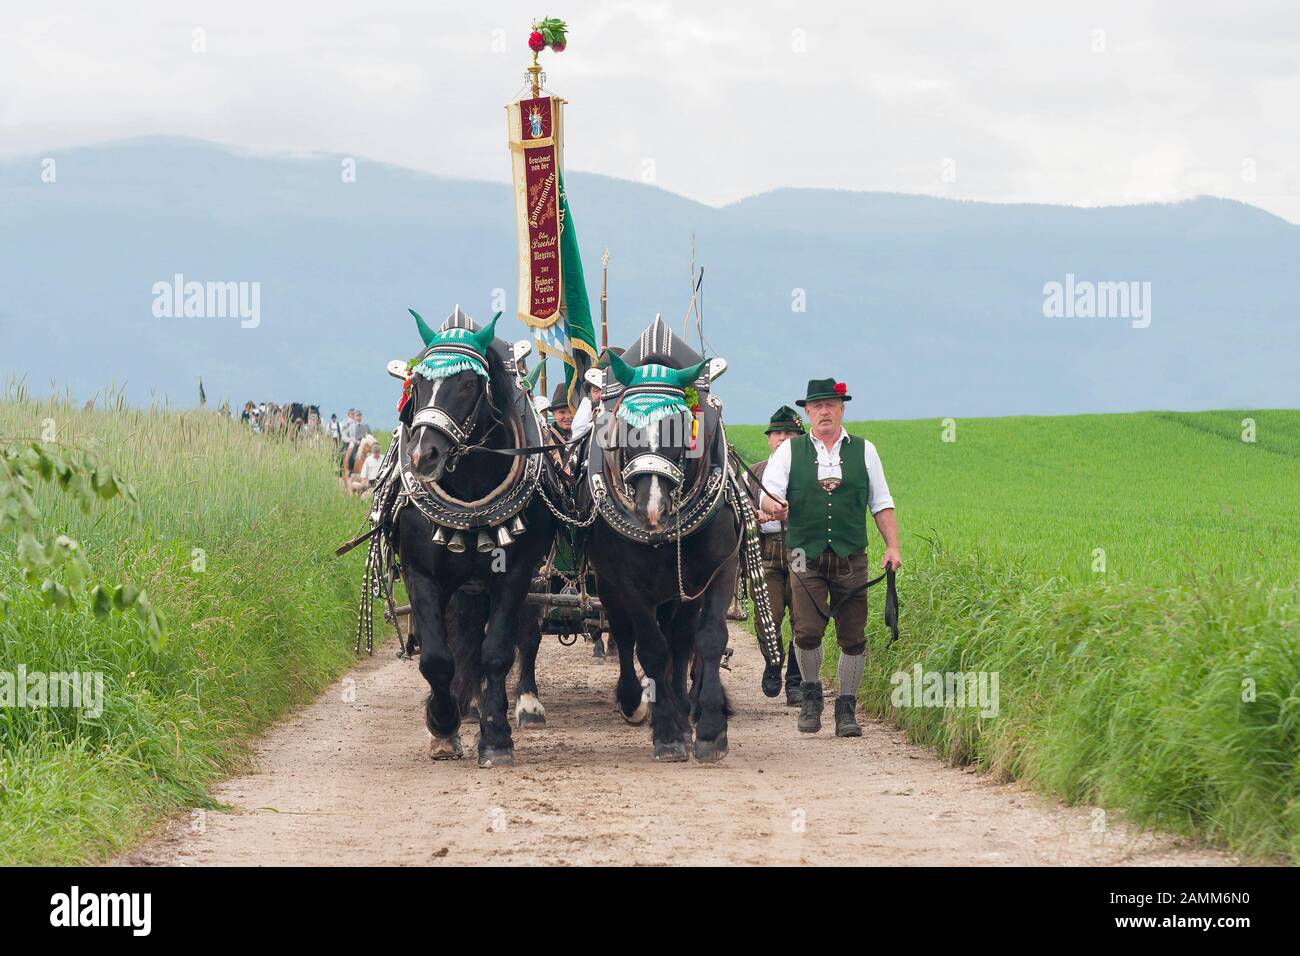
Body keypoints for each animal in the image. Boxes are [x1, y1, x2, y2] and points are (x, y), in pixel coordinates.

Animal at [397, 312, 556, 770]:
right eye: (418, 383)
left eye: (468, 384)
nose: (423, 456)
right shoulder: (421, 573)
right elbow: (437, 657)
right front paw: (443, 725)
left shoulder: (517, 572)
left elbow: (497, 652)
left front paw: (496, 737)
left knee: (523, 637)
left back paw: (521, 704)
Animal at [585, 351, 738, 764]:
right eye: (624, 430)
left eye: (681, 427)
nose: (651, 510)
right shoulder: (627, 582)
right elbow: (650, 647)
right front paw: (667, 734)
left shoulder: (715, 572)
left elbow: (708, 638)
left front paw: (709, 730)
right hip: (608, 584)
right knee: (625, 635)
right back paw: (635, 701)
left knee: (680, 640)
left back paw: (685, 710)